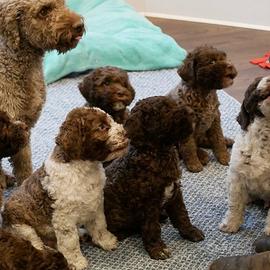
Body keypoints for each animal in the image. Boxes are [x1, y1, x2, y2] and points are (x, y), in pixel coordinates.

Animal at [2, 107, 129, 270]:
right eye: (101, 127)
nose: (125, 132)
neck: (83, 170)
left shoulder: (96, 205)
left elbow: (100, 225)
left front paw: (106, 241)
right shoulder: (64, 218)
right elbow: (70, 242)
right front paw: (76, 262)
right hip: (22, 228)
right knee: (37, 244)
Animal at [104, 96, 205, 260]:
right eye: (163, 110)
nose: (192, 113)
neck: (159, 153)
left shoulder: (175, 192)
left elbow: (182, 215)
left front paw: (190, 231)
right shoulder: (148, 202)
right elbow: (152, 227)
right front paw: (157, 248)